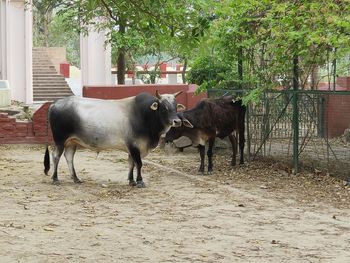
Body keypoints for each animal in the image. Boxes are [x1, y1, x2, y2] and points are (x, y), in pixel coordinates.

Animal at [44, 91, 185, 188]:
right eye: (164, 108)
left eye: (175, 107)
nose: (177, 121)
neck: (144, 115)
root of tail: (54, 103)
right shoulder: (134, 146)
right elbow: (139, 164)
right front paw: (140, 181)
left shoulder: (131, 148)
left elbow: (131, 163)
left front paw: (131, 181)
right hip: (60, 140)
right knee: (56, 156)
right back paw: (55, 179)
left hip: (72, 142)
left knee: (69, 157)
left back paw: (76, 178)